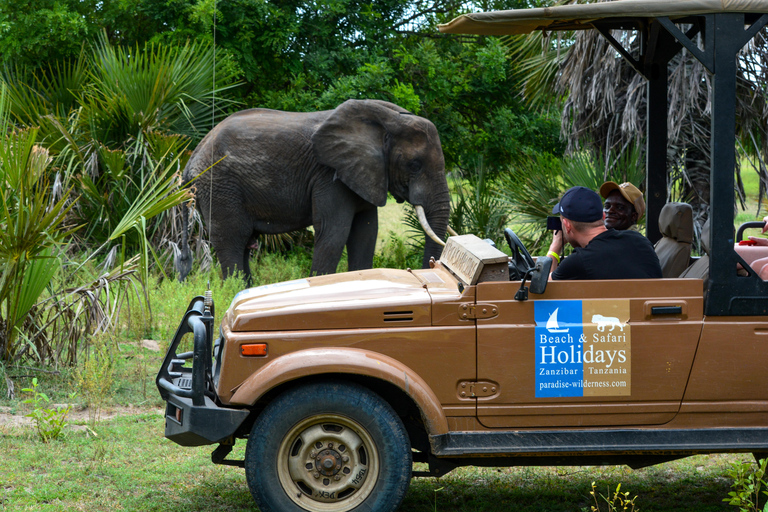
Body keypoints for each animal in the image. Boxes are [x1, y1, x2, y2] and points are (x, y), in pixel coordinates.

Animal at [182, 98, 450, 282]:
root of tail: (194, 154)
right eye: (414, 165)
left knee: (245, 242)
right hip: (220, 186)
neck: (388, 120)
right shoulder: (329, 175)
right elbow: (334, 232)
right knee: (232, 240)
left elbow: (366, 233)